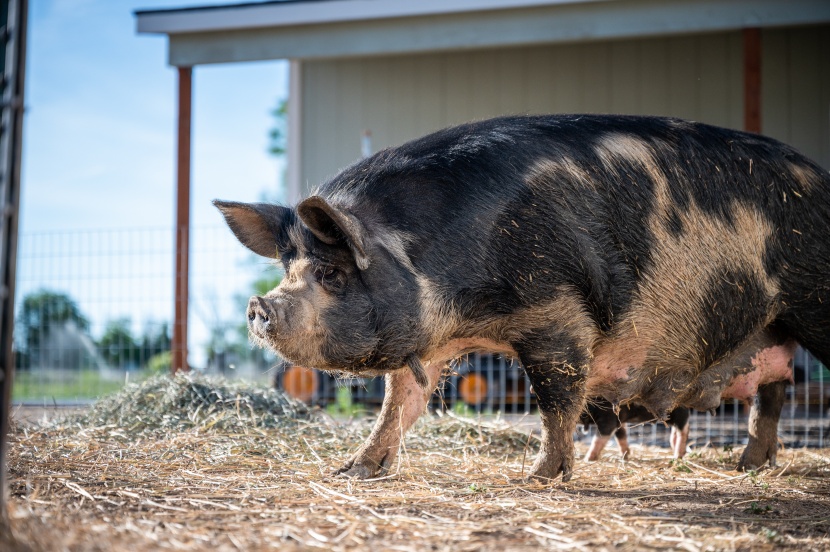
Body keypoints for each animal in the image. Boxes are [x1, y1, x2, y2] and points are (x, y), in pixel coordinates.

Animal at [216, 114, 830, 480]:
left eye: (331, 272)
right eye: (288, 266)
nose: (259, 306)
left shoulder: (554, 314)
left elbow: (556, 399)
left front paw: (539, 476)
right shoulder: (434, 342)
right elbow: (401, 404)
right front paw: (353, 471)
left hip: (813, 300)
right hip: (769, 330)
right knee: (773, 393)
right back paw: (748, 466)